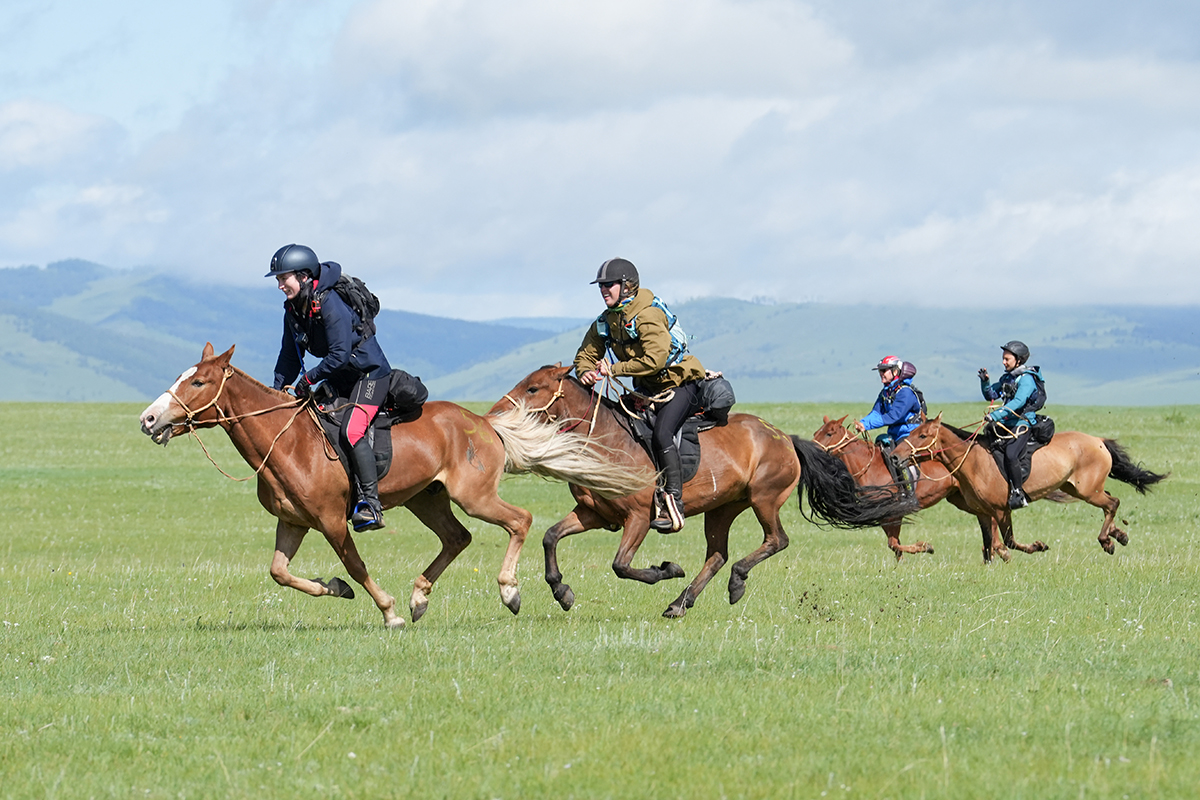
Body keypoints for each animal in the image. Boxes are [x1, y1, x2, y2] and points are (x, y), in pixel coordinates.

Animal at [138, 344, 652, 629]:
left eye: (199, 382)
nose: (148, 419)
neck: (288, 440)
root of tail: (485, 423)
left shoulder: (332, 521)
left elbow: (358, 566)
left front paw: (388, 612)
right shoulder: (294, 523)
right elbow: (280, 572)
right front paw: (335, 588)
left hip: (474, 496)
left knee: (519, 521)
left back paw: (509, 591)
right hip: (428, 499)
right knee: (457, 538)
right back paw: (421, 596)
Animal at [488, 365, 917, 618]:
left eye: (534, 388)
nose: (494, 414)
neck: (606, 439)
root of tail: (785, 438)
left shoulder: (638, 518)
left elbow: (622, 566)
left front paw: (666, 569)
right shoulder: (595, 515)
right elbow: (550, 537)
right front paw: (561, 591)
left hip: (763, 499)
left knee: (775, 540)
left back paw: (734, 583)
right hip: (721, 508)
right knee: (717, 554)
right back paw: (682, 602)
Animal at [894, 414, 1167, 558]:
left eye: (921, 435)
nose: (895, 456)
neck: (973, 461)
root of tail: (1098, 440)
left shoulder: (1002, 510)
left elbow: (1008, 541)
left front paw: (1036, 546)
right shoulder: (983, 512)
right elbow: (990, 543)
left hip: (1088, 491)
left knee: (1113, 502)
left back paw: (1107, 541)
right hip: (1077, 489)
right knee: (1110, 501)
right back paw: (1118, 534)